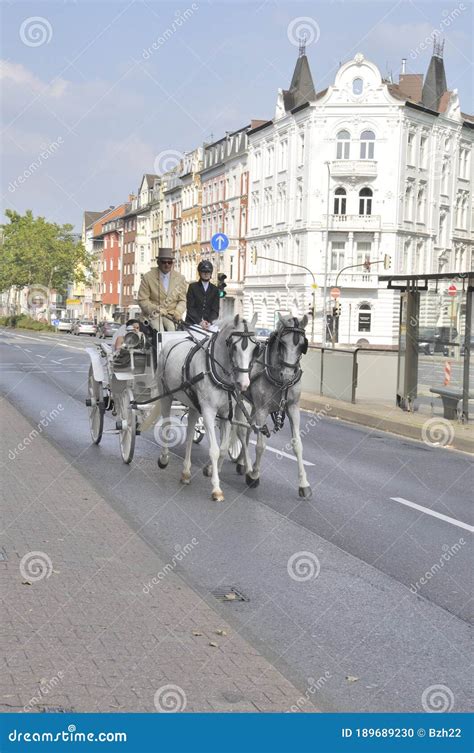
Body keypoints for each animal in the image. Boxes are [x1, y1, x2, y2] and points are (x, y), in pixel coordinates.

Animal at [156, 314, 260, 502]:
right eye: (234, 346)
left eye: (256, 348)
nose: (244, 384)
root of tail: (169, 343)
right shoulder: (209, 412)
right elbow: (214, 450)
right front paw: (216, 489)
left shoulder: (226, 414)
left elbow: (224, 449)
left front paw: (210, 470)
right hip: (166, 396)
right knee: (166, 425)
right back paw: (164, 458)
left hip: (193, 405)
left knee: (190, 434)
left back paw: (186, 473)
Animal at [230, 312, 312, 496]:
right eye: (282, 343)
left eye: (302, 345)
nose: (288, 376)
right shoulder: (262, 409)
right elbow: (261, 445)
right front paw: (254, 475)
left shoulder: (293, 408)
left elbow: (298, 444)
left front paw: (303, 483)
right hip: (240, 400)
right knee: (240, 430)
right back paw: (247, 466)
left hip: (251, 404)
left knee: (247, 431)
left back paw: (241, 462)